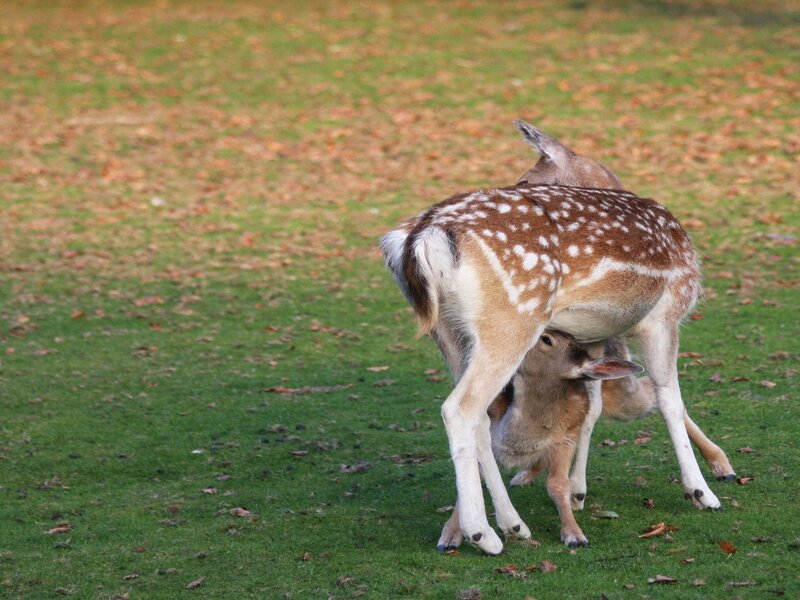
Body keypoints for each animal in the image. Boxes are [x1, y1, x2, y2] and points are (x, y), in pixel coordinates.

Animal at [438, 330, 644, 549]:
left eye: (546, 339)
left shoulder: (566, 440)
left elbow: (558, 484)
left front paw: (575, 534)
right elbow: (474, 476)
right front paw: (450, 536)